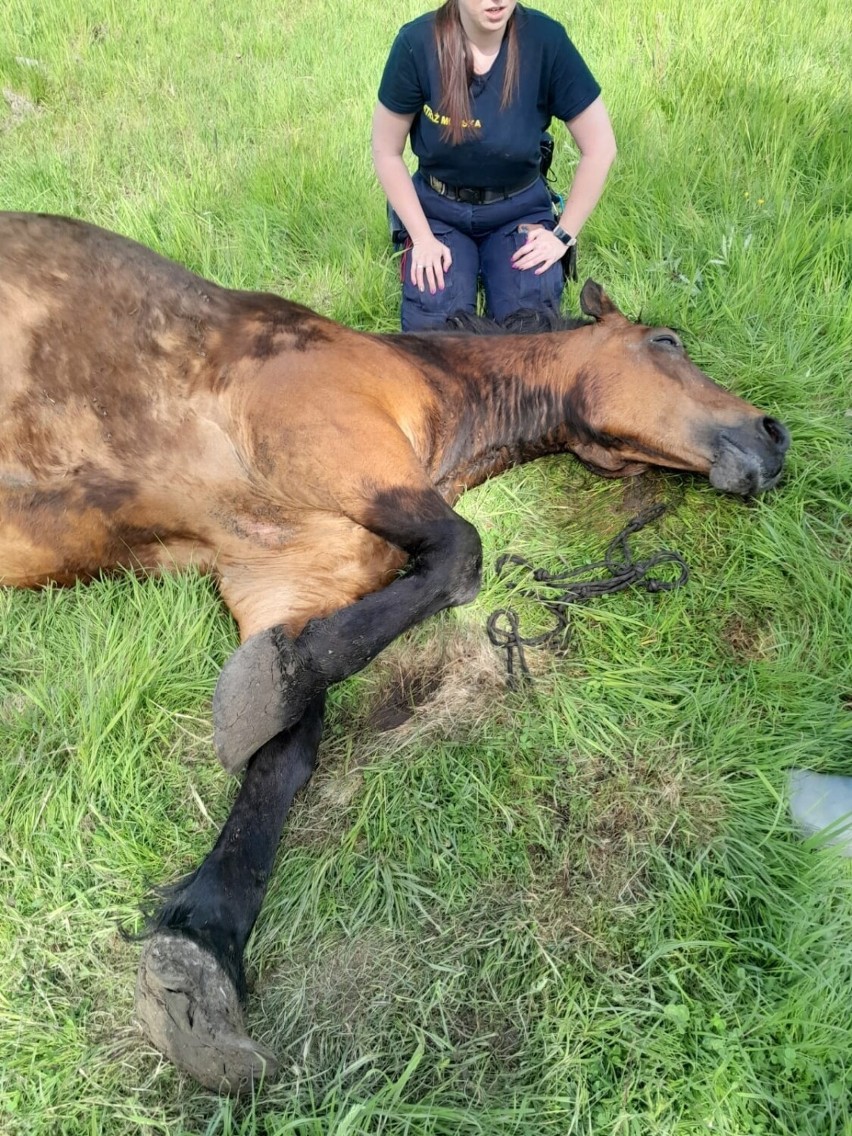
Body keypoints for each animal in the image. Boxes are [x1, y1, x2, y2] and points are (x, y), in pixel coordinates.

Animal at [0, 213, 790, 1090]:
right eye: (666, 341)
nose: (775, 437)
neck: (421, 385)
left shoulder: (282, 588)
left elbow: (285, 755)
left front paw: (200, 954)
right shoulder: (334, 450)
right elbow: (459, 553)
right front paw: (267, 690)